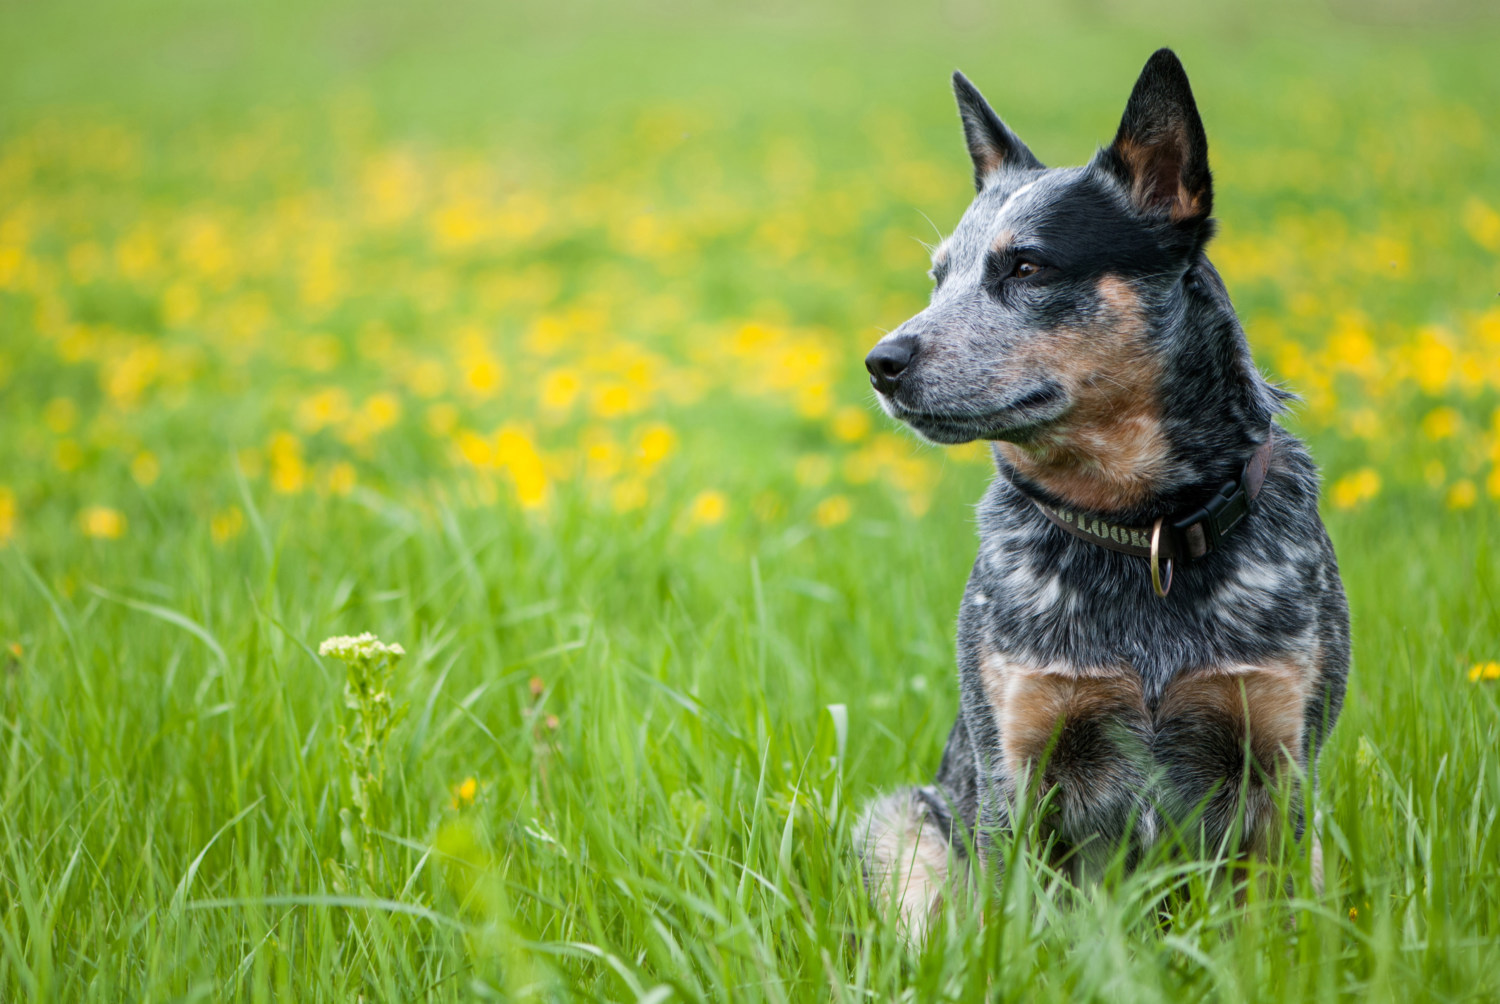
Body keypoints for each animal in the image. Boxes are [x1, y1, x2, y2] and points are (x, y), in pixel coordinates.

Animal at [852, 48, 1356, 942]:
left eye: (1025, 265)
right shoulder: (1019, 764)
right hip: (900, 820)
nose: (882, 361)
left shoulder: (1280, 760)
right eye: (938, 276)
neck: (1139, 527)